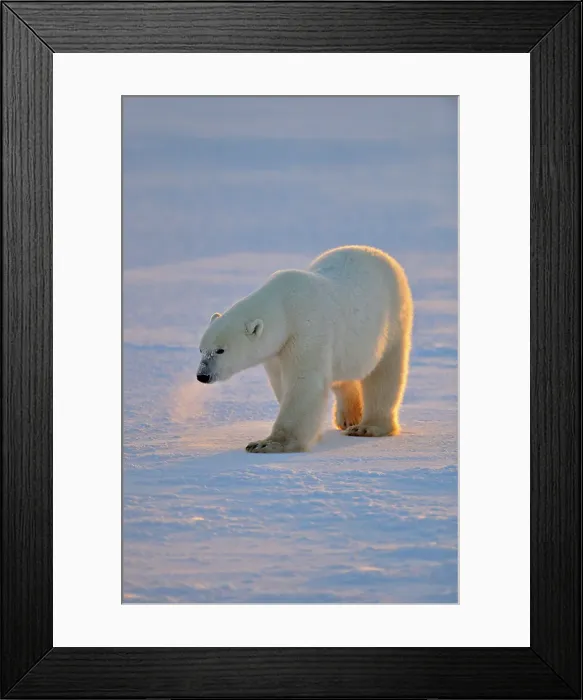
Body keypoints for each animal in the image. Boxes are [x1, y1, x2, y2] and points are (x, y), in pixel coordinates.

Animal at [197, 245, 413, 453]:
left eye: (220, 350)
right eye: (201, 350)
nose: (202, 376)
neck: (284, 308)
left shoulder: (306, 331)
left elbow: (303, 383)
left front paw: (267, 444)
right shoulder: (276, 351)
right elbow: (281, 382)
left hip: (393, 320)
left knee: (385, 374)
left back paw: (367, 427)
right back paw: (349, 418)